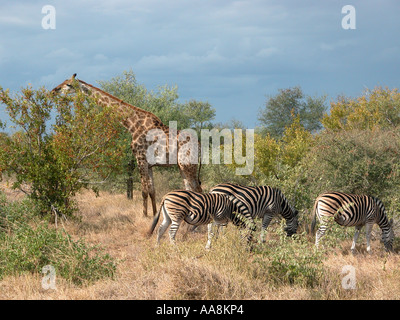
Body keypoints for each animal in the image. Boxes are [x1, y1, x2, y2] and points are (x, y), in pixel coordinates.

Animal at [52, 73, 203, 216]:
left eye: (69, 84)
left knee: (198, 190)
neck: (131, 124)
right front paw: (154, 215)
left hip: (188, 164)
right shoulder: (149, 164)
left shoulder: (140, 158)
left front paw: (144, 216)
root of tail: (200, 145)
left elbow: (144, 191)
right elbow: (152, 190)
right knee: (190, 190)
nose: (54, 90)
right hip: (182, 166)